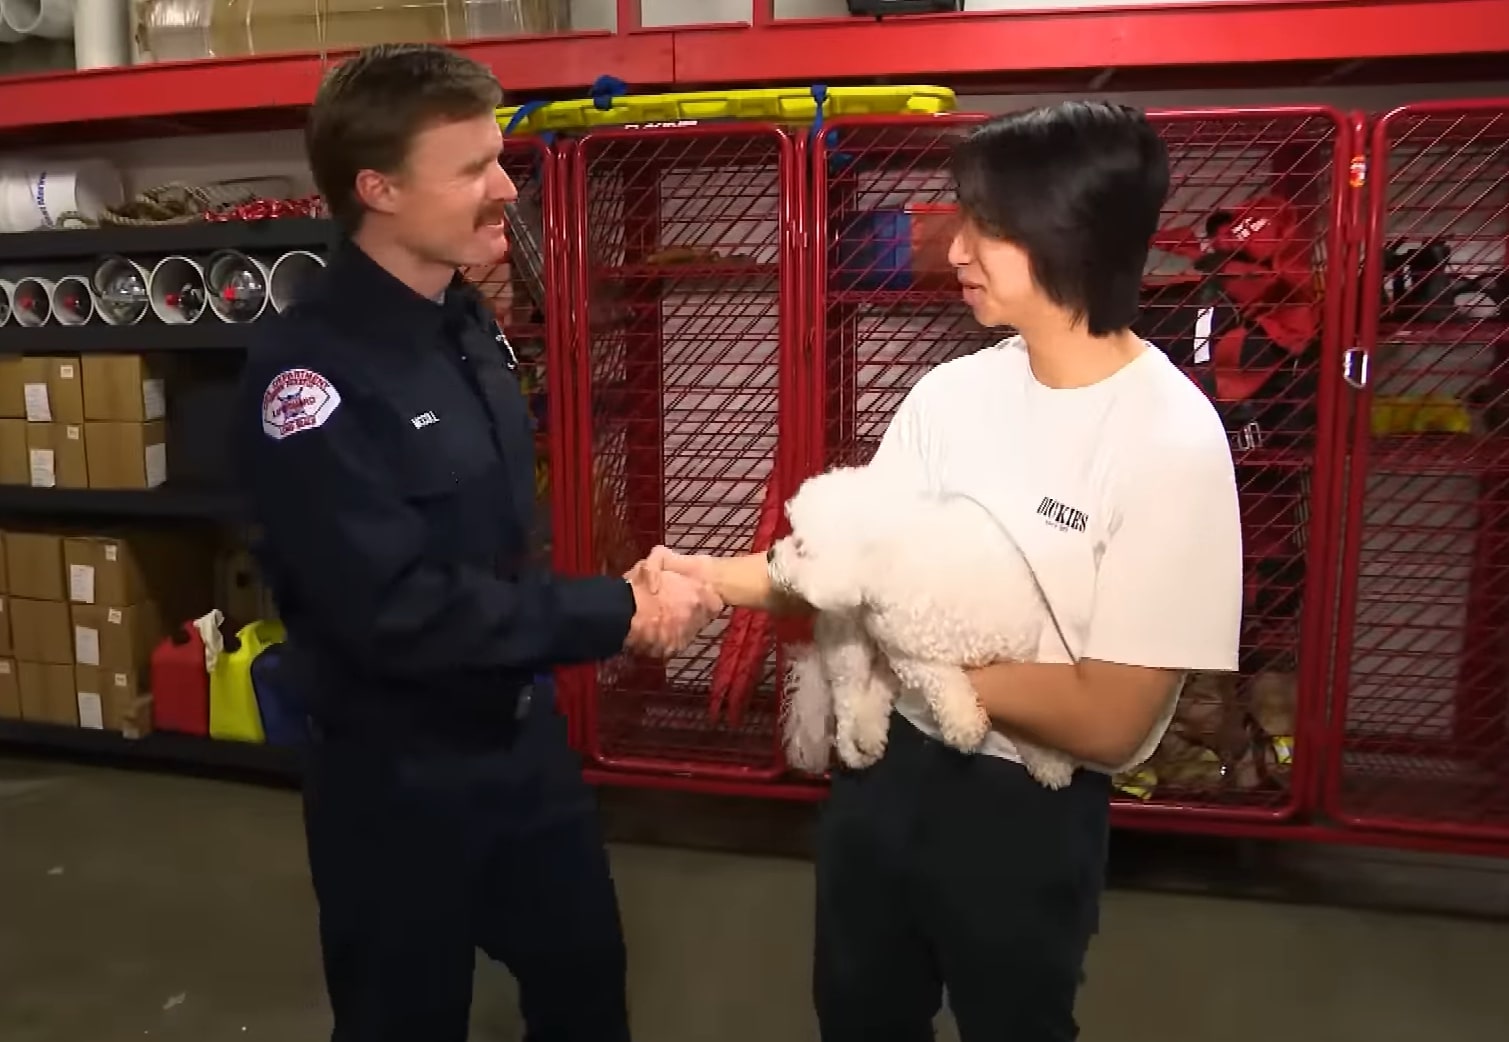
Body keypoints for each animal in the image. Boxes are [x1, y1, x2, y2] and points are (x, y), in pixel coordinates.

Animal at [772, 464, 1080, 790]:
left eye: (800, 547)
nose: (769, 555)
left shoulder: (1015, 655)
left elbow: (1026, 713)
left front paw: (1048, 761)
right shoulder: (909, 656)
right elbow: (942, 680)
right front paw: (965, 724)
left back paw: (869, 734)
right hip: (850, 648)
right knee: (847, 702)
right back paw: (855, 744)